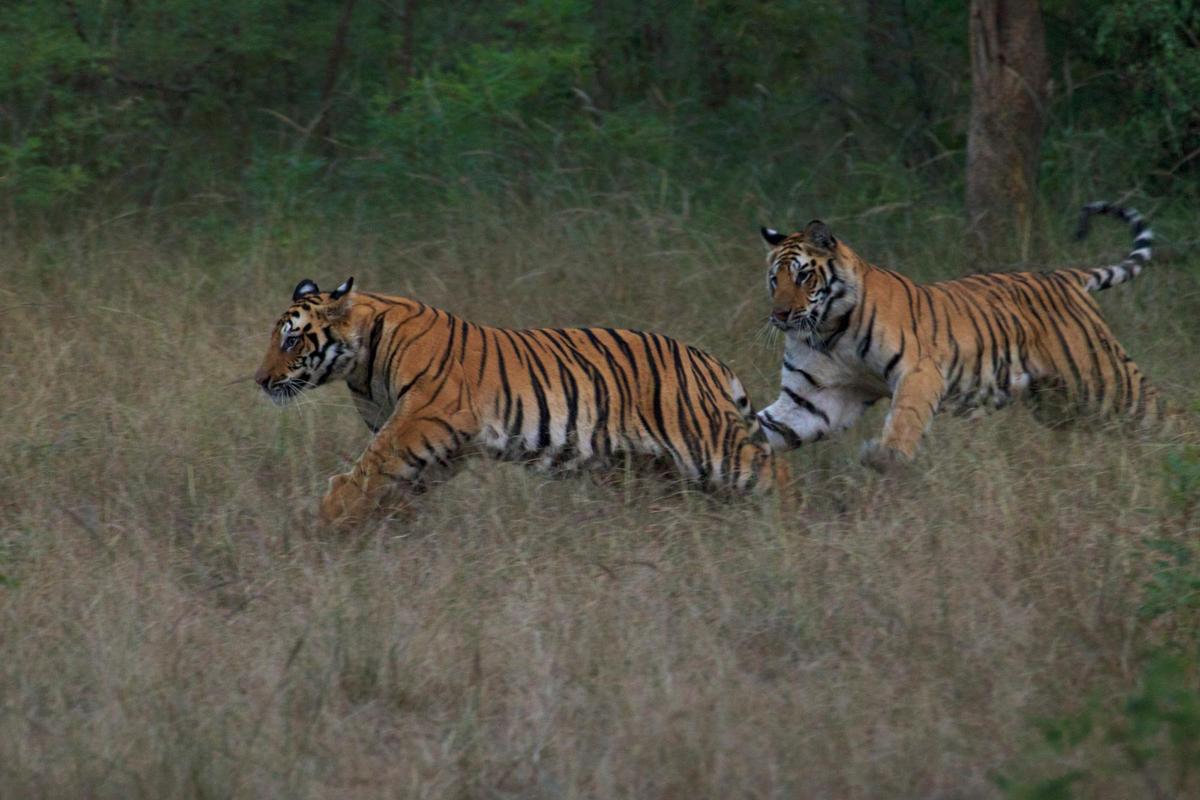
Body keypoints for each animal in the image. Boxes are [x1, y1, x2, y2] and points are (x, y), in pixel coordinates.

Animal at [254, 278, 786, 527]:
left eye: (291, 340)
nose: (259, 380)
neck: (361, 367)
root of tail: (707, 360)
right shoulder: (444, 442)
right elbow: (398, 483)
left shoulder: (420, 420)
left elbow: (370, 468)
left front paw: (326, 518)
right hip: (655, 467)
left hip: (706, 442)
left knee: (774, 471)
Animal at [754, 202, 1168, 469]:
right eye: (775, 279)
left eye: (803, 276)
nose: (780, 315)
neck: (829, 329)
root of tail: (1065, 276)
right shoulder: (814, 398)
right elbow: (766, 428)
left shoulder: (919, 370)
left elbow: (905, 417)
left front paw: (884, 457)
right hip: (1058, 402)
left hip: (1108, 383)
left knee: (1162, 414)